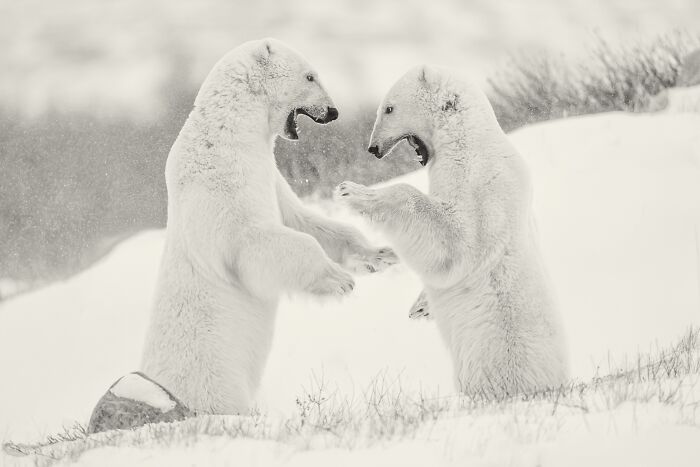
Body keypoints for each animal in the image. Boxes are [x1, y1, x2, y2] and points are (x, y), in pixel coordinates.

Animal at [141, 39, 397, 415]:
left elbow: (301, 219)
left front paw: (378, 255)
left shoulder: (268, 174)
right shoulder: (221, 181)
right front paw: (338, 279)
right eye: (310, 75)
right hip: (214, 377)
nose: (333, 111)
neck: (230, 132)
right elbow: (251, 241)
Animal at [336, 65, 568, 398]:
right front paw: (420, 307)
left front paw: (352, 191)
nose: (373, 148)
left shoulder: (480, 187)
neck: (469, 141)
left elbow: (454, 242)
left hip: (491, 356)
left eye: (388, 108)